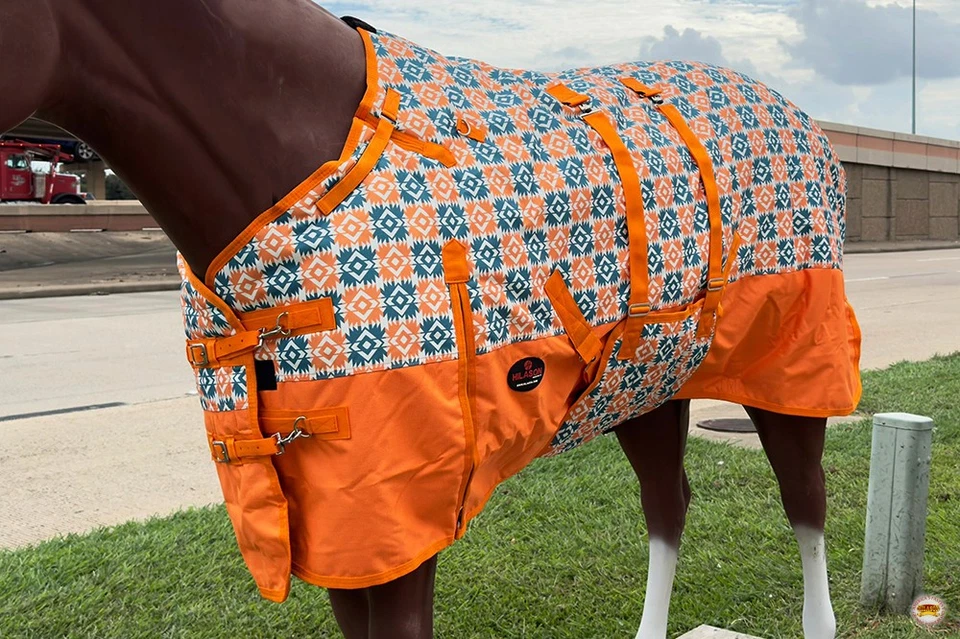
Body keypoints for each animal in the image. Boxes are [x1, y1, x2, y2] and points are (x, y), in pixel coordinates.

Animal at [0, 1, 862, 638]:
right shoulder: (339, 528)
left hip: (788, 370)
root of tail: (803, 120)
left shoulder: (403, 521)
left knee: (806, 501)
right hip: (647, 378)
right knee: (668, 504)